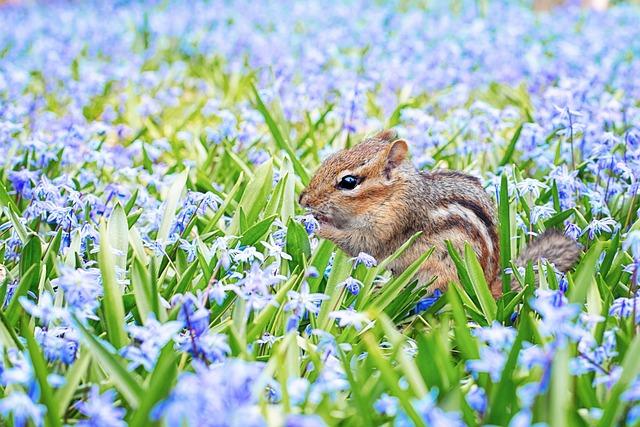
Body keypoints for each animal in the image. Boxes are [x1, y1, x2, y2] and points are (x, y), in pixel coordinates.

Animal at [299, 129, 581, 297]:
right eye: (331, 157)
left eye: (348, 182)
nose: (303, 199)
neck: (392, 195)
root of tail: (488, 287)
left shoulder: (390, 226)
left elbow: (359, 243)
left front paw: (318, 224)